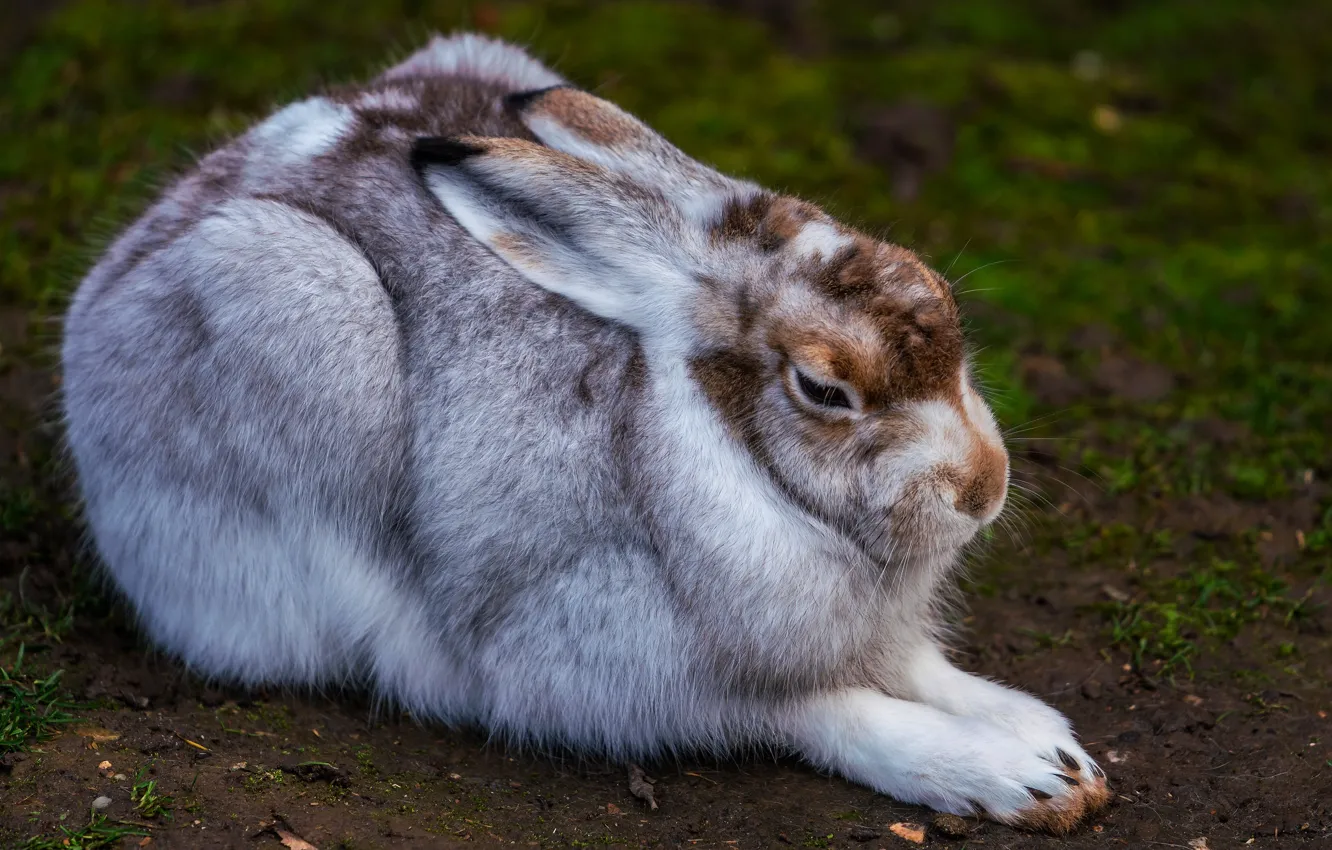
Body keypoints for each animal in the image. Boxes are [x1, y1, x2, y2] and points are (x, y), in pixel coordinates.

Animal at [60, 32, 1108, 832]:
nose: (984, 488)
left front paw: (1054, 749)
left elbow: (924, 669)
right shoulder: (620, 661)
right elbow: (827, 711)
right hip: (281, 296)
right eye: (824, 389)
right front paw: (1013, 777)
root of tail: (107, 291)